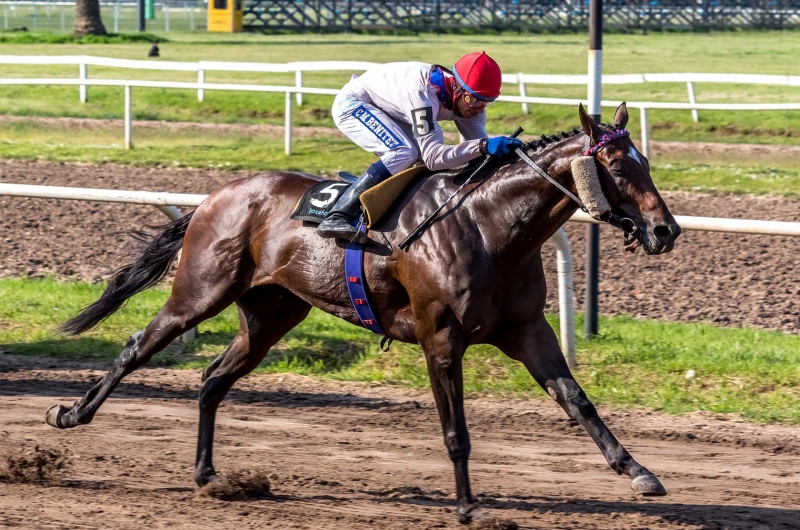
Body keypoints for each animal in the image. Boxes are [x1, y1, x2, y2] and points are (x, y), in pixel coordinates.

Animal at [45, 102, 680, 520]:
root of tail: (214, 197)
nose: (665, 231)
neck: (490, 229)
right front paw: (468, 506)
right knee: (138, 346)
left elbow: (578, 401)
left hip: (272, 314)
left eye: (646, 162)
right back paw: (71, 415)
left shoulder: (526, 330)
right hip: (201, 292)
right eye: (618, 167)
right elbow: (456, 431)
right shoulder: (440, 336)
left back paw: (207, 475)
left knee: (213, 379)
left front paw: (640, 472)